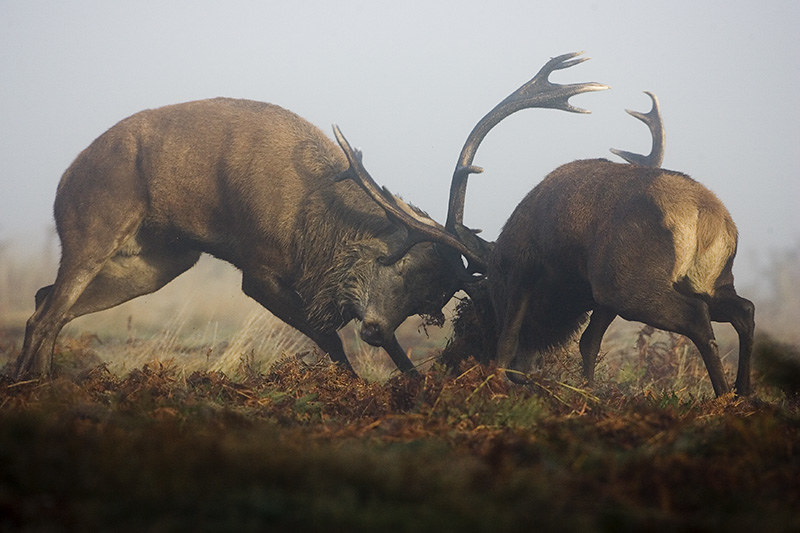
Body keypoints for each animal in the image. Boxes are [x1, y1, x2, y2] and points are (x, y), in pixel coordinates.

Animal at [448, 64, 754, 396]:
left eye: (482, 305)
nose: (524, 371)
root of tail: (705, 213)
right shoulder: (597, 297)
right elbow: (589, 342)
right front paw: (589, 389)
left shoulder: (524, 267)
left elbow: (508, 340)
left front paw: (500, 380)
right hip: (711, 280)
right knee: (745, 310)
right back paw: (743, 393)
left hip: (628, 284)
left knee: (697, 316)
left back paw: (724, 395)